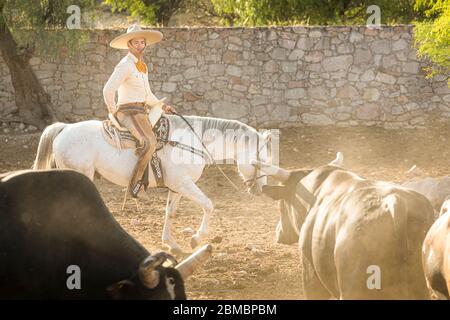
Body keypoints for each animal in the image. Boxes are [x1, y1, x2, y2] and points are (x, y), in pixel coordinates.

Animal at [33, 114, 270, 254]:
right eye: (262, 161)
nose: (260, 189)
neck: (190, 143)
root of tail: (64, 129)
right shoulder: (184, 184)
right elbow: (209, 204)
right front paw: (196, 238)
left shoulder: (176, 187)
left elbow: (170, 212)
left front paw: (172, 244)